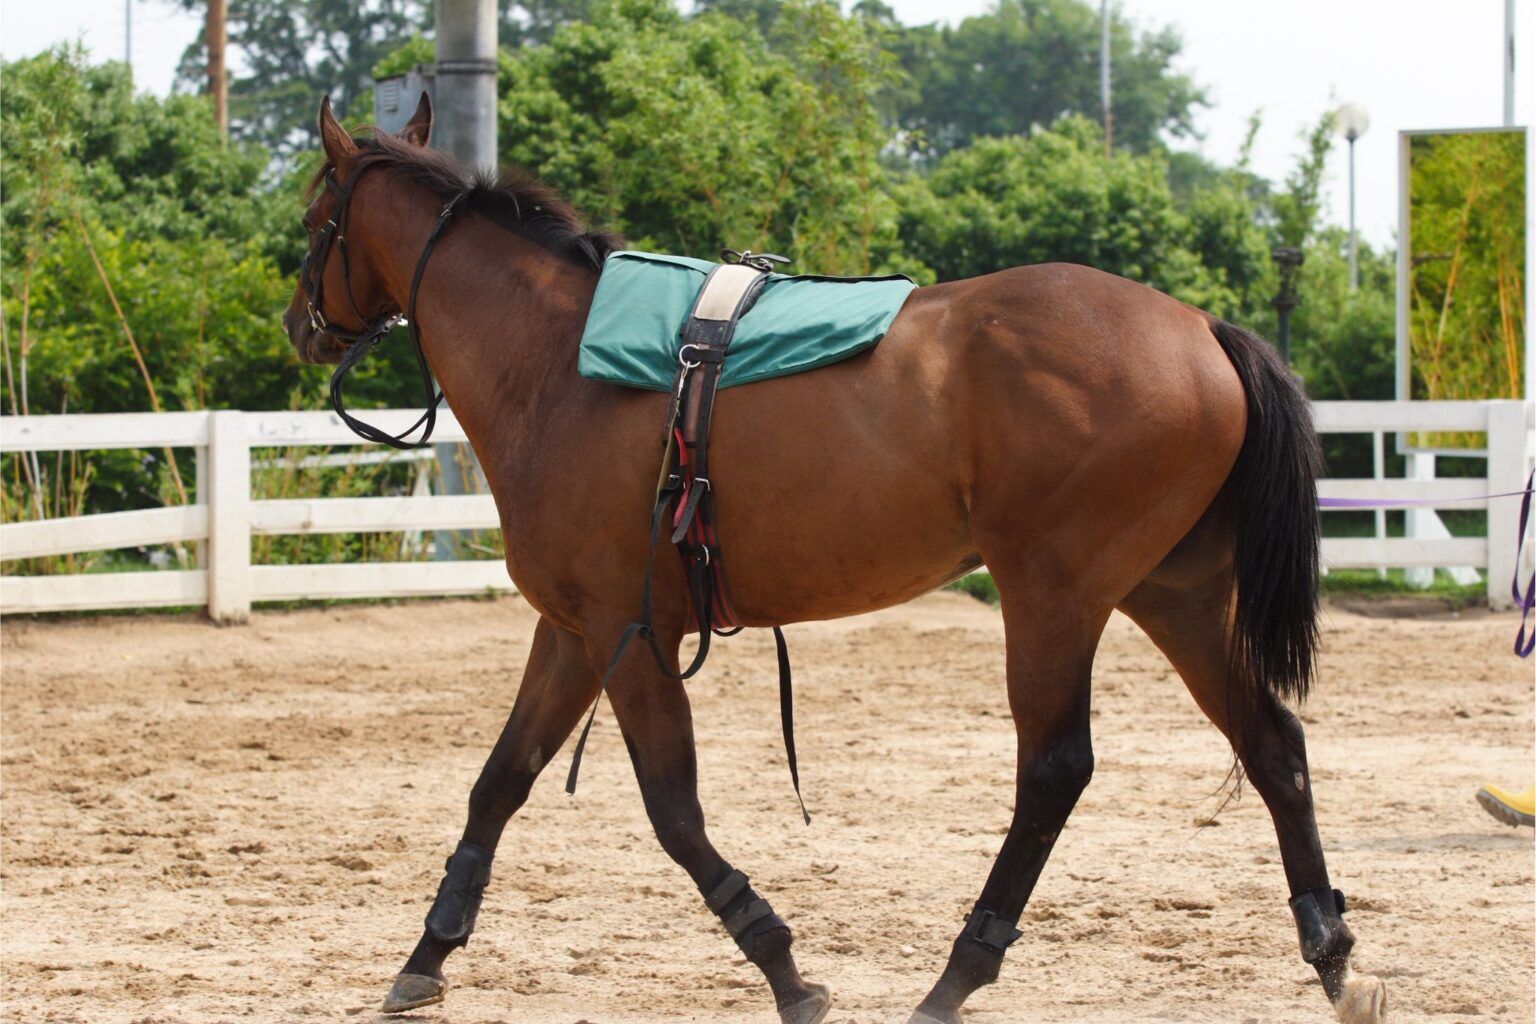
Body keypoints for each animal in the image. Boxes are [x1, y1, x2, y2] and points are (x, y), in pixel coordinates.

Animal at [282, 94, 1387, 1024]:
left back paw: (957, 976)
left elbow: (673, 812)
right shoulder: (572, 631)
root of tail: (1201, 326)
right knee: (1273, 745)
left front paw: (782, 964)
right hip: (1176, 595)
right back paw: (1332, 955)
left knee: (1055, 769)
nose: (299, 324)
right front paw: (426, 954)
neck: (558, 367)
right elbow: (499, 781)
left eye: (311, 219)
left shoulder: (627, 633)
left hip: (1054, 594)